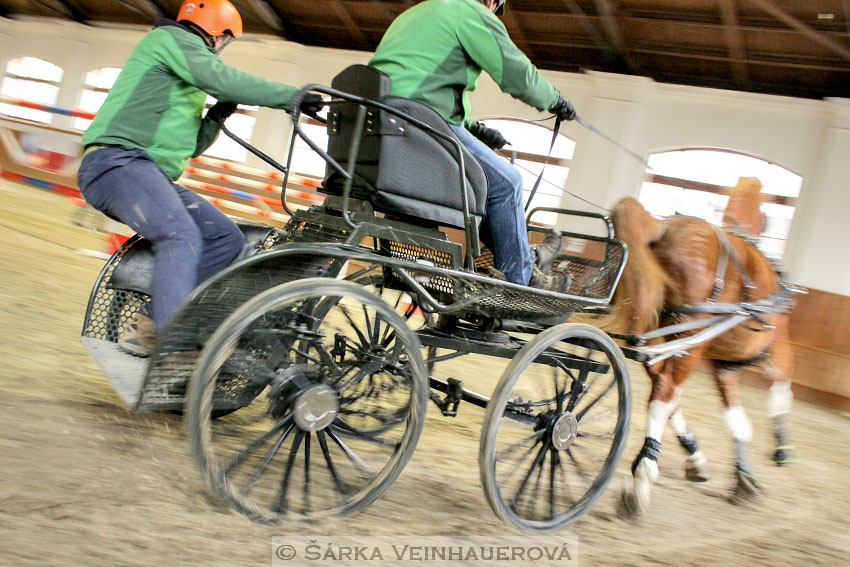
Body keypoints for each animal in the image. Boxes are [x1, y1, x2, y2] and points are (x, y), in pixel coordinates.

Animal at [604, 184, 796, 516]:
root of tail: (663, 228)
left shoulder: (724, 367)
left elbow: (737, 421)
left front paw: (743, 475)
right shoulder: (778, 350)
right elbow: (781, 395)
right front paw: (782, 448)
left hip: (658, 333)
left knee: (665, 389)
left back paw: (686, 456)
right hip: (690, 336)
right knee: (665, 391)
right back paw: (644, 474)